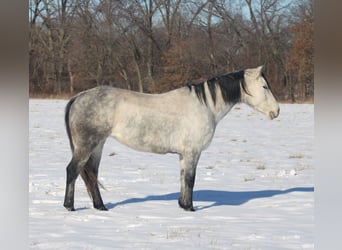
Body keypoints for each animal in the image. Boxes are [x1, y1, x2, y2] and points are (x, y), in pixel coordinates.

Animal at [62, 66, 280, 211]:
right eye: (264, 86)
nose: (276, 111)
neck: (205, 106)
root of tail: (78, 97)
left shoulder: (184, 154)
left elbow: (183, 178)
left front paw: (183, 205)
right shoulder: (193, 152)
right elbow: (190, 180)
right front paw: (190, 208)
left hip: (97, 145)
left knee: (91, 173)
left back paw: (100, 207)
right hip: (86, 145)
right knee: (73, 170)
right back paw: (69, 206)